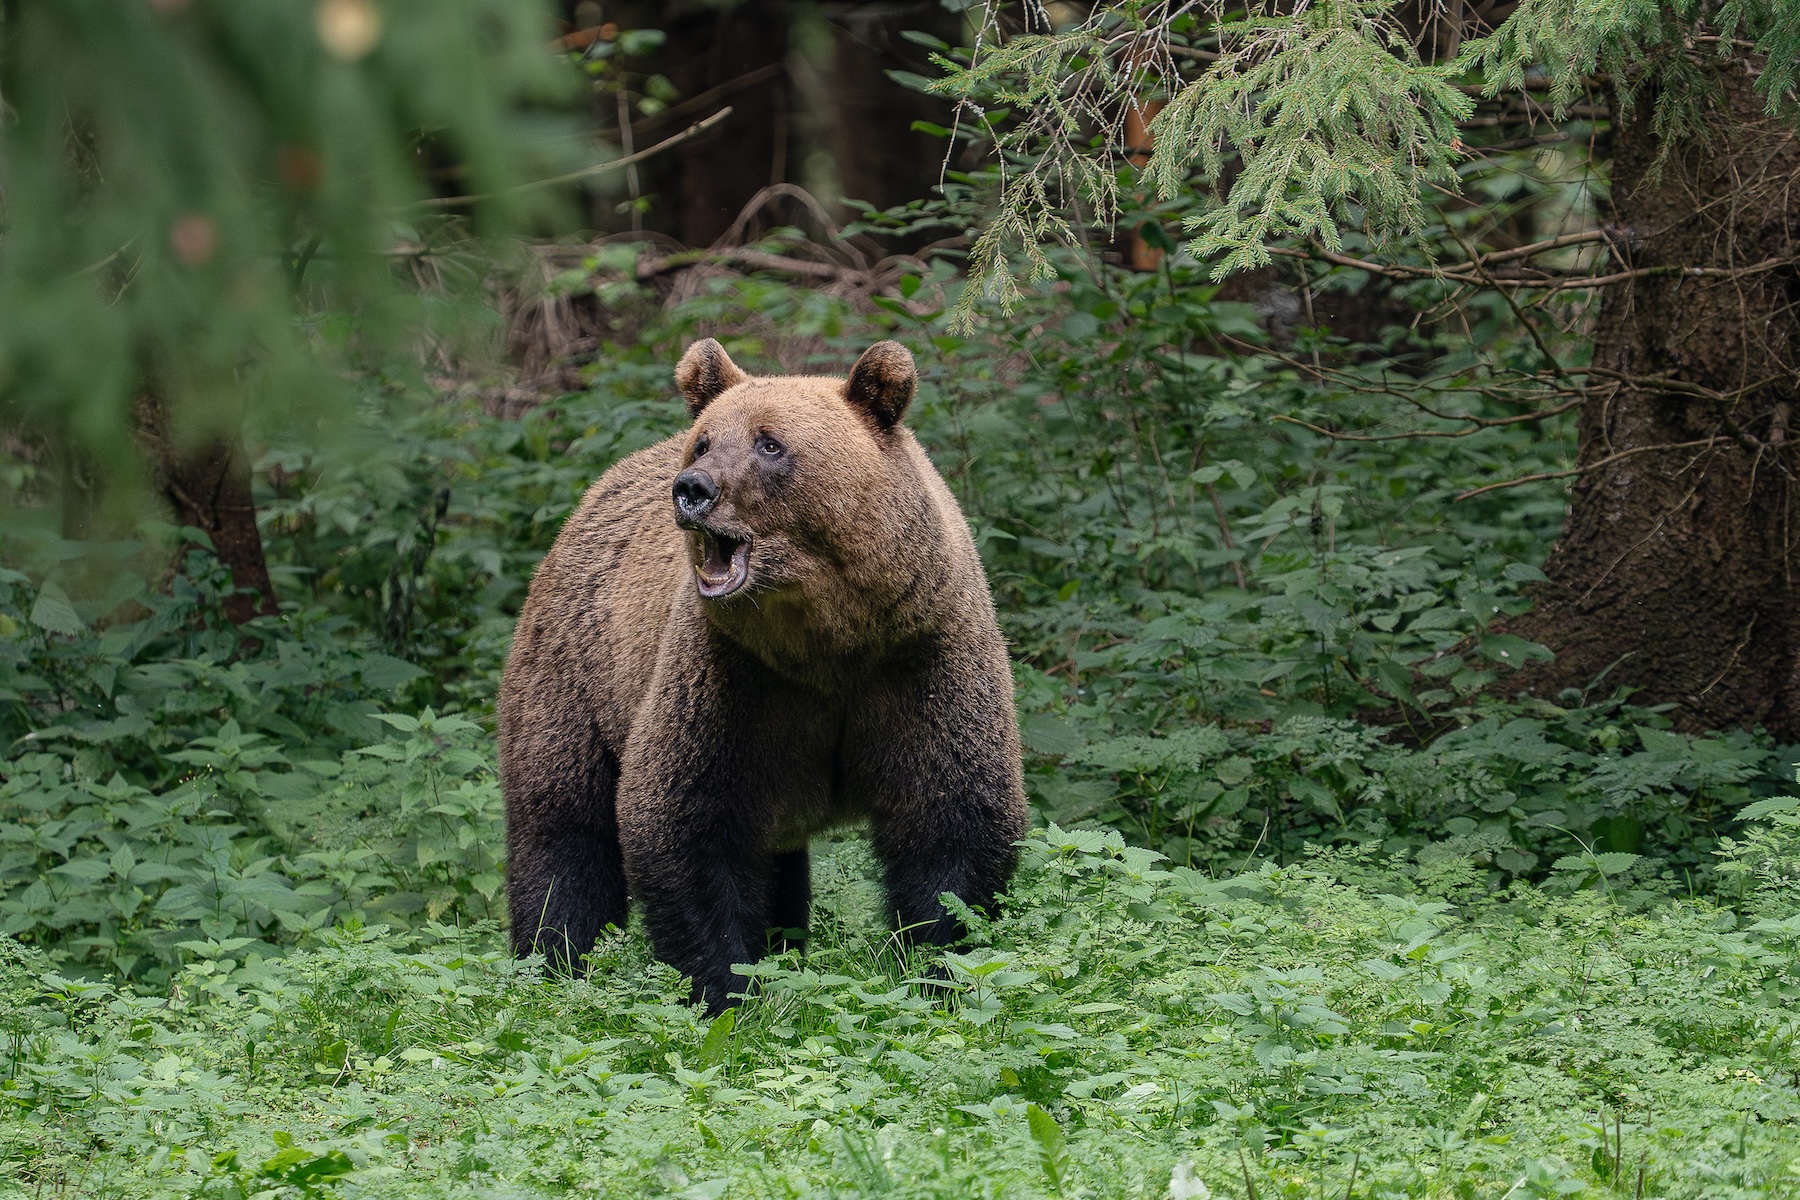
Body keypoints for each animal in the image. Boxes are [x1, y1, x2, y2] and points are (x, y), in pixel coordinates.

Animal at [498, 338, 1028, 1011]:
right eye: (704, 441)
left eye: (770, 444)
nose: (692, 488)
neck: (829, 644)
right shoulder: (731, 679)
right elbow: (687, 822)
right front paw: (726, 987)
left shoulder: (920, 661)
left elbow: (951, 823)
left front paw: (937, 971)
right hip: (575, 676)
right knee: (564, 835)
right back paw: (552, 964)